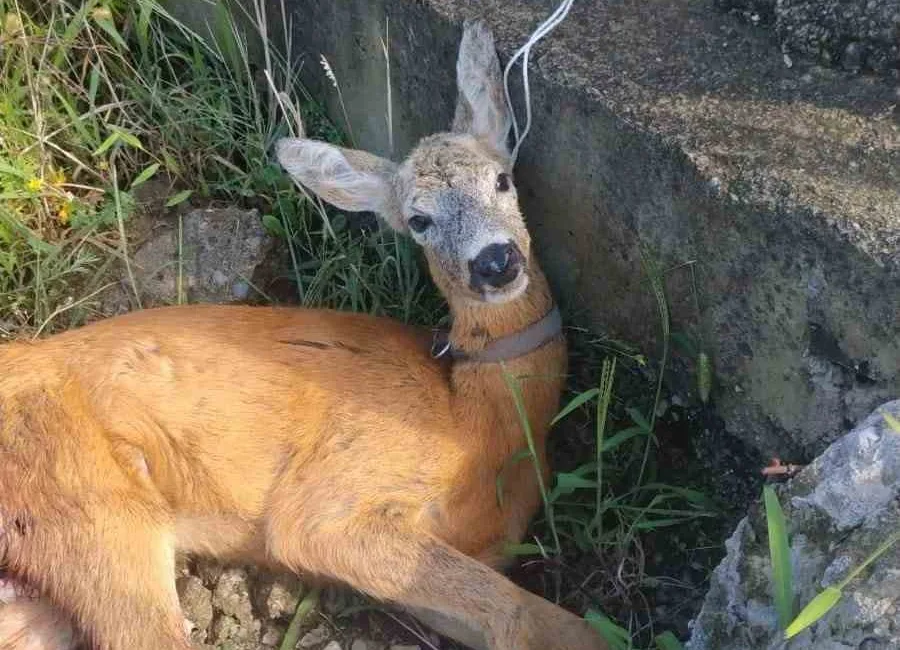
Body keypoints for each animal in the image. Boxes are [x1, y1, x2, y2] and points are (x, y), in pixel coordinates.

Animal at [0, 20, 608, 648]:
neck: (473, 420)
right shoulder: (324, 507)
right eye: (419, 220)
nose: (494, 261)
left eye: (502, 179)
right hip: (87, 502)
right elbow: (517, 610)